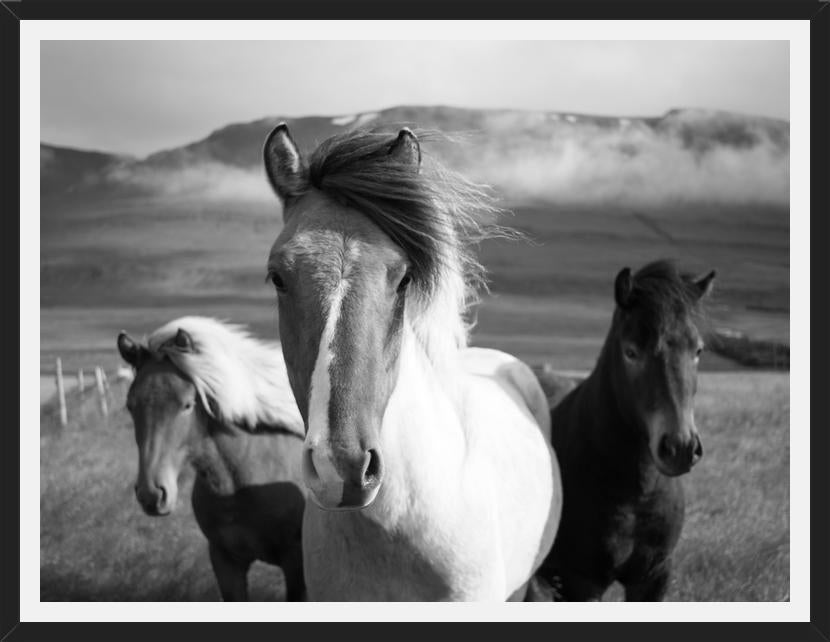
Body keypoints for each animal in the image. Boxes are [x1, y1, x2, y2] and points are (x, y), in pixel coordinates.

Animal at [536, 260, 716, 601]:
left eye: (698, 350)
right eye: (631, 352)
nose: (680, 448)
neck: (635, 496)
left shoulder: (653, 578)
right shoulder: (581, 583)